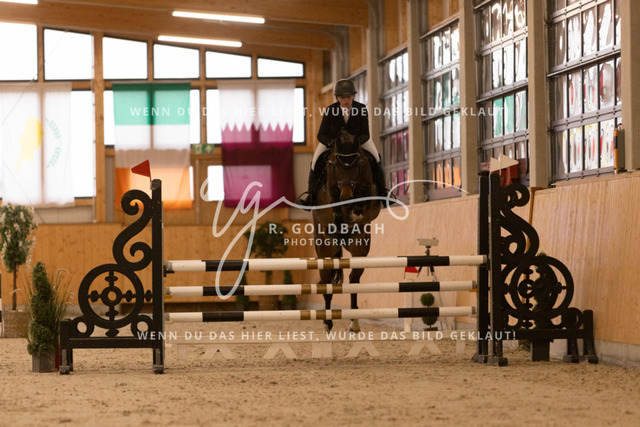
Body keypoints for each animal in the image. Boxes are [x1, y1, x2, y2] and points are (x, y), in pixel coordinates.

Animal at [312, 129, 382, 332]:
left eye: (357, 165)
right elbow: (334, 200)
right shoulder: (330, 190)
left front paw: (355, 213)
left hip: (359, 246)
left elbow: (364, 200)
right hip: (325, 250)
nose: (346, 196)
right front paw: (341, 216)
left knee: (353, 279)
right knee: (326, 283)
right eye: (334, 165)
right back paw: (327, 322)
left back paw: (354, 322)